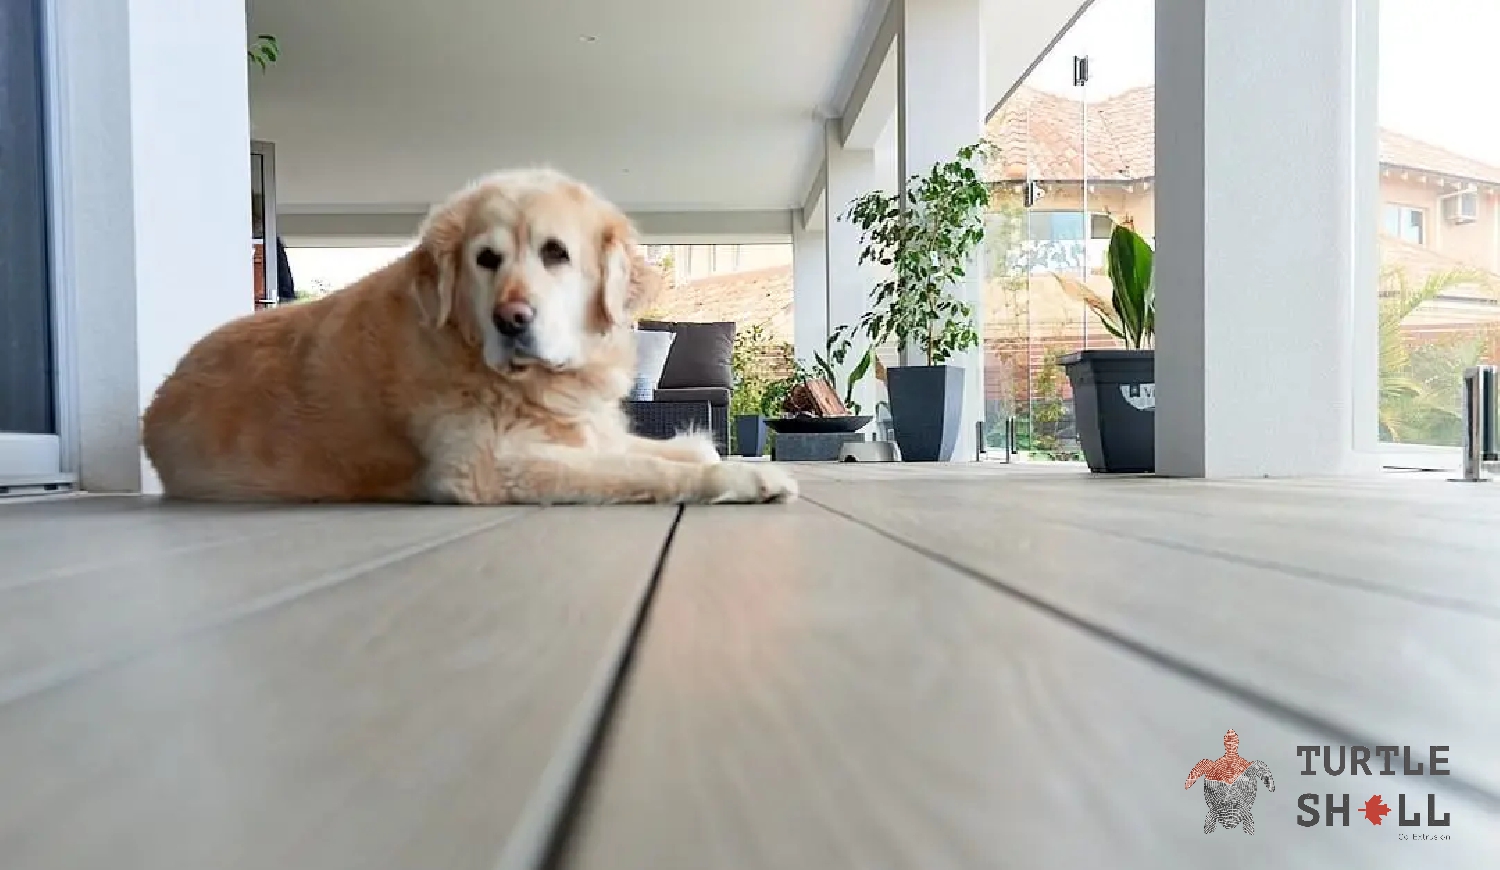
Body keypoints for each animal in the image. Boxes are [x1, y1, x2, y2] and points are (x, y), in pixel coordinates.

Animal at [141, 168, 797, 505]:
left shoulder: (584, 429)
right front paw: (740, 477)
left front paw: (706, 452)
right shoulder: (490, 465)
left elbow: (660, 448)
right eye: (486, 260)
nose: (512, 320)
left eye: (555, 253)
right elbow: (642, 470)